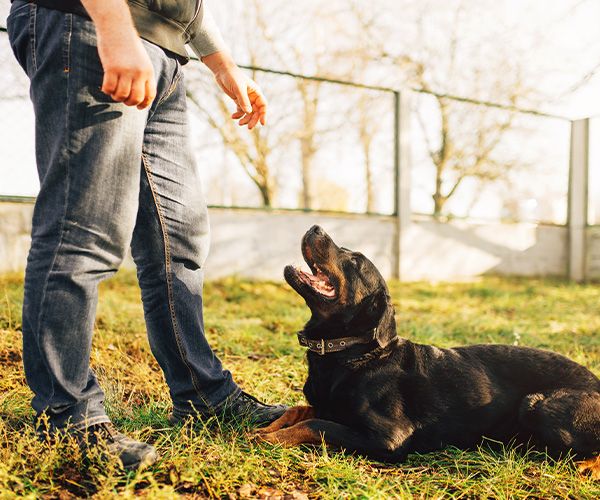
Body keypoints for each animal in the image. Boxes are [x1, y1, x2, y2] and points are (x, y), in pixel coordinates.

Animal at [258, 226, 600, 476]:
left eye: (355, 261)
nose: (315, 226)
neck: (351, 353)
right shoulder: (327, 406)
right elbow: (299, 410)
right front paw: (267, 428)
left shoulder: (389, 437)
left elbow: (317, 425)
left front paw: (271, 438)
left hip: (537, 404)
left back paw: (584, 466)